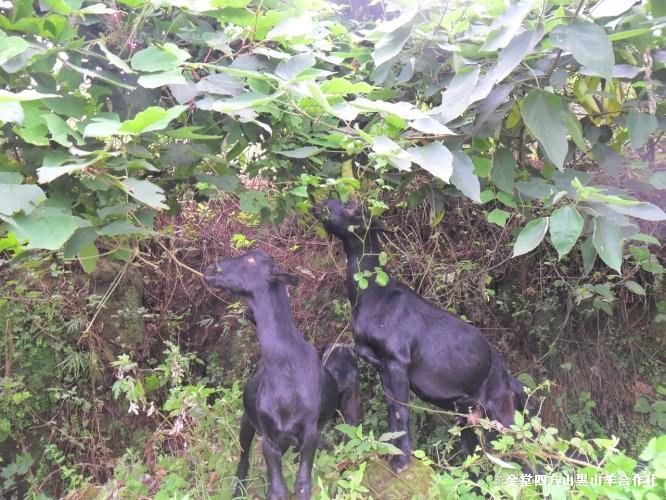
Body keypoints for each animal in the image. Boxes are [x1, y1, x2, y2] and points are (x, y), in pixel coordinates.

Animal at [202, 250, 338, 500]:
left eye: (251, 260)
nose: (210, 269)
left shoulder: (310, 434)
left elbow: (302, 484)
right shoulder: (269, 437)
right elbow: (276, 490)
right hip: (248, 423)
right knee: (244, 459)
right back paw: (238, 492)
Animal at [314, 198, 528, 472]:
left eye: (354, 209)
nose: (322, 204)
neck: (372, 294)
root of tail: (509, 380)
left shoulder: (398, 359)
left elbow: (402, 410)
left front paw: (402, 460)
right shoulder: (381, 365)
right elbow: (392, 409)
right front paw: (391, 451)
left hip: (501, 409)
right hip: (470, 417)